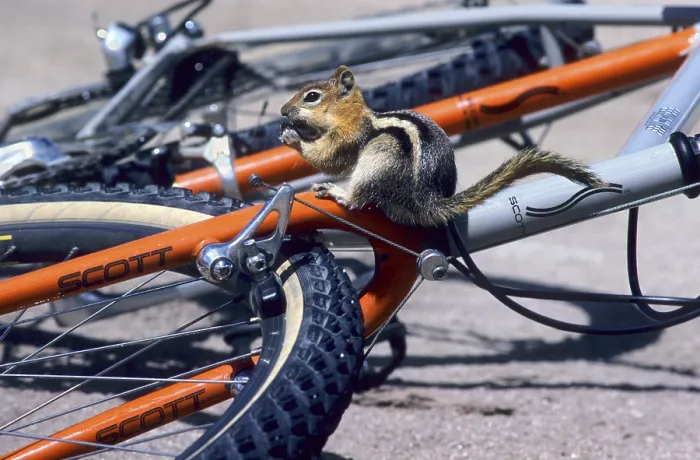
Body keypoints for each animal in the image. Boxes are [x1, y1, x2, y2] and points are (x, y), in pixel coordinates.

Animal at [278, 65, 607, 227]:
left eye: (311, 96)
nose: (282, 110)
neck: (355, 114)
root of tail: (426, 201)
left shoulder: (350, 136)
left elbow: (329, 158)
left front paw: (293, 137)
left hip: (380, 155)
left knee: (357, 200)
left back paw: (339, 193)